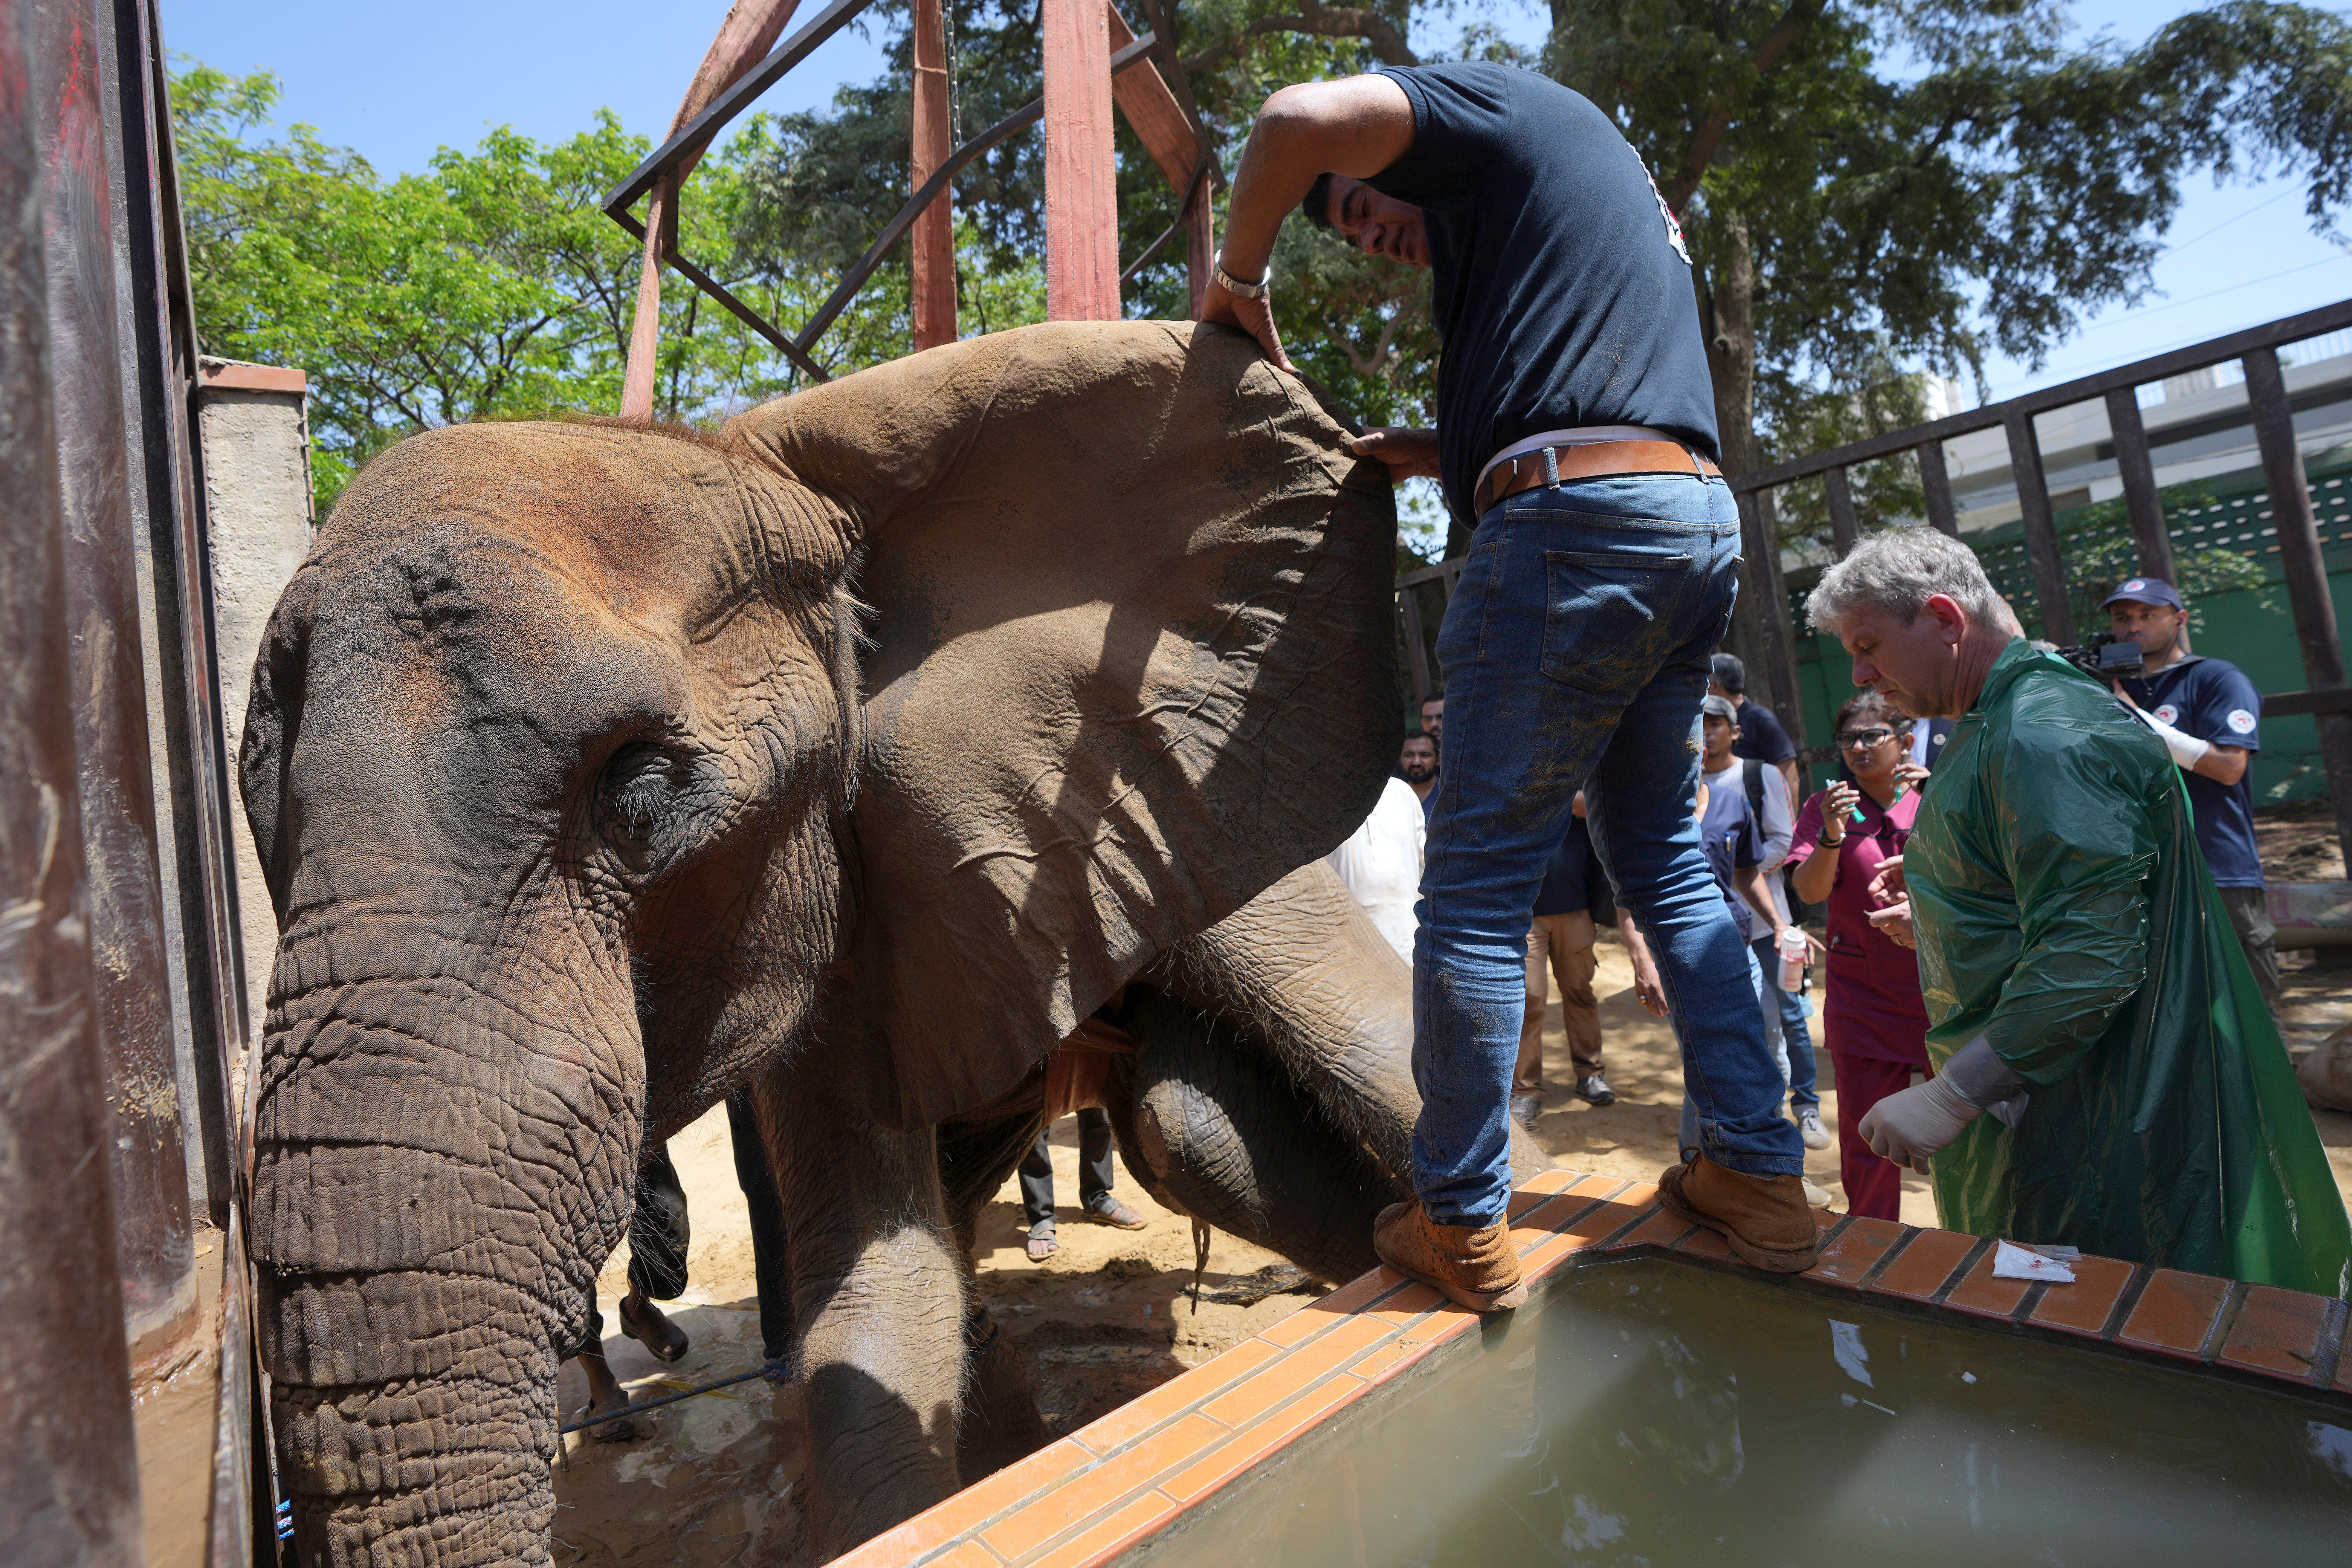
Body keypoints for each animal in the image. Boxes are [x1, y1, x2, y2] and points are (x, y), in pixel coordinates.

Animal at [240, 320, 1546, 1567]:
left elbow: (1385, 1057)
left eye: (643, 791)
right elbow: (875, 1286)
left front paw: (1482, 1263)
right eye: (258, 812)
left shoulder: (1148, 763)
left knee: (1187, 1128)